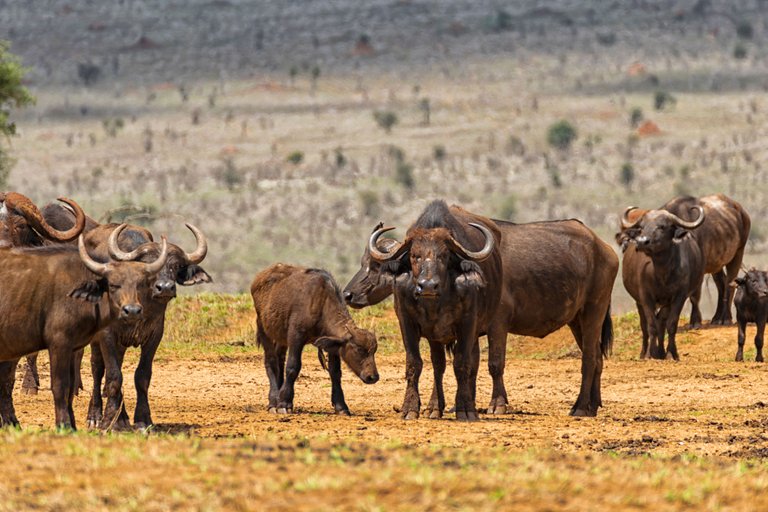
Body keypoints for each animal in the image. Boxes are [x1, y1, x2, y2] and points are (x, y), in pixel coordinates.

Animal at [0, 228, 168, 428]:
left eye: (141, 284)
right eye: (113, 285)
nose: (132, 311)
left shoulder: (74, 346)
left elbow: (71, 386)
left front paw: (72, 424)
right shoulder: (60, 343)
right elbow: (60, 385)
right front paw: (64, 425)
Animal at [250, 262, 380, 414]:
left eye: (373, 351)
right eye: (359, 350)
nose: (373, 377)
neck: (321, 304)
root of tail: (258, 279)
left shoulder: (332, 345)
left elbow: (335, 372)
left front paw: (341, 406)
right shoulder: (296, 337)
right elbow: (293, 367)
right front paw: (284, 403)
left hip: (280, 338)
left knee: (279, 360)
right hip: (264, 329)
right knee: (270, 361)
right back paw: (273, 401)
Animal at [344, 203, 616, 416]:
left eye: (376, 266)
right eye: (414, 256)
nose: (348, 294)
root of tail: (604, 248)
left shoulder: (497, 325)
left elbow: (493, 363)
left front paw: (497, 405)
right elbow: (465, 364)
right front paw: (455, 405)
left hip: (593, 312)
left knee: (589, 358)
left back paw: (579, 408)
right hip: (577, 320)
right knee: (597, 358)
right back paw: (592, 405)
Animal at [620, 205, 704, 360]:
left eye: (662, 226)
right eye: (642, 227)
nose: (642, 242)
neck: (662, 274)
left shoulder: (679, 296)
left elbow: (671, 324)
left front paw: (671, 353)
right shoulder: (645, 297)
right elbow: (651, 325)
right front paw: (649, 354)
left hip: (666, 303)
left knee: (662, 322)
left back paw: (660, 352)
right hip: (639, 302)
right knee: (645, 325)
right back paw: (645, 352)